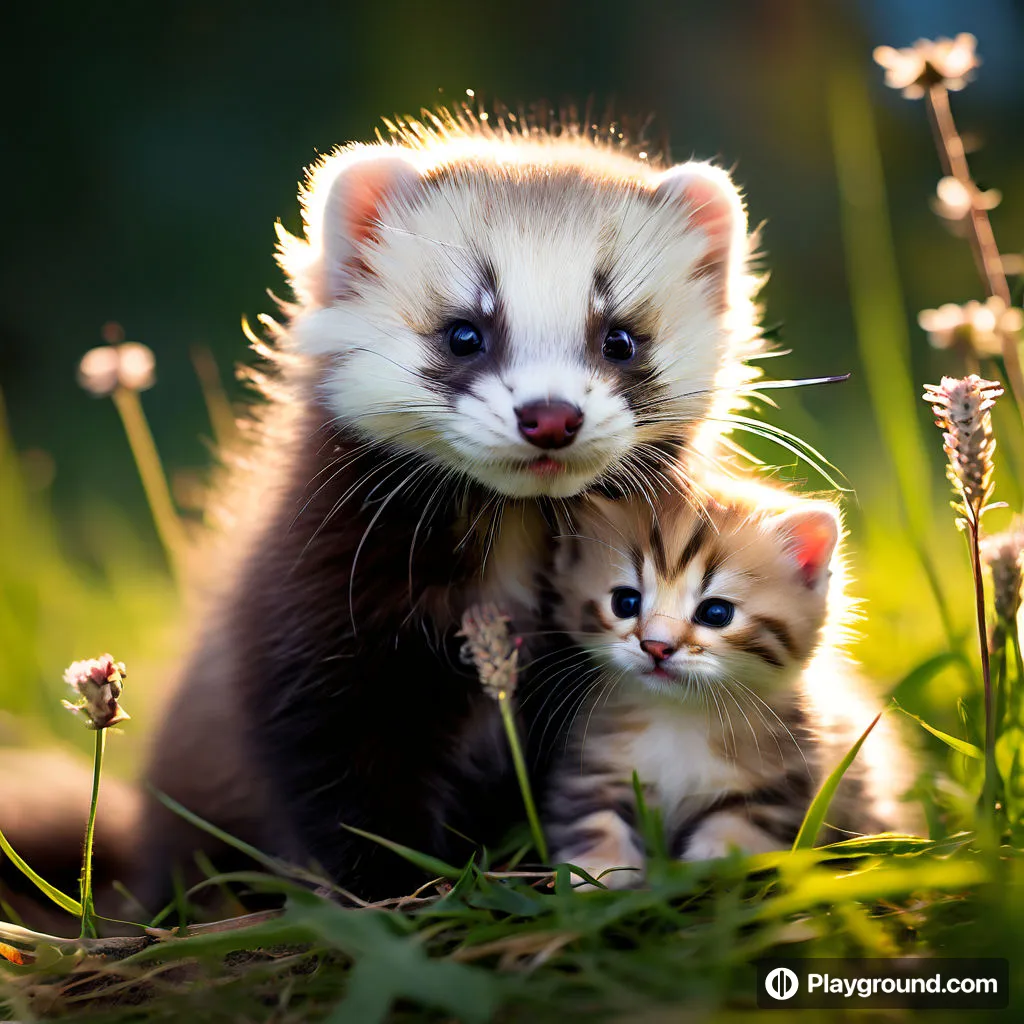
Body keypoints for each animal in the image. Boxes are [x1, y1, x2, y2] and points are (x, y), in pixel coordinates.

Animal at [544, 479, 913, 888]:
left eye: (716, 613)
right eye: (625, 602)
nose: (656, 646)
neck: (680, 715)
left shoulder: (786, 779)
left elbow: (742, 828)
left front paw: (713, 865)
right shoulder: (593, 761)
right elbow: (592, 816)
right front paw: (598, 871)